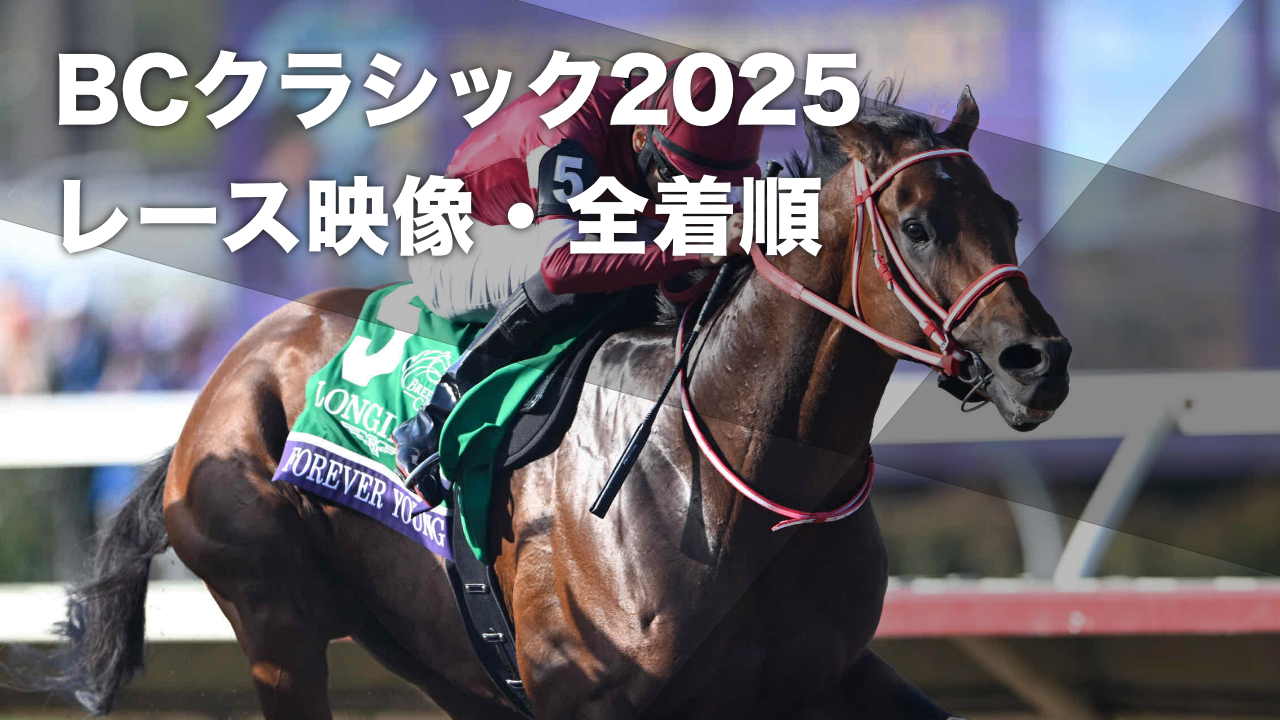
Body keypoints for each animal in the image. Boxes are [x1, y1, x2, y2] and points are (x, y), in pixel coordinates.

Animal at [21, 86, 1070, 718]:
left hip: (436, 651)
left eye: (1007, 215)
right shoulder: (584, 693)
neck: (742, 471)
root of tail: (226, 376)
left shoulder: (828, 676)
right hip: (275, 616)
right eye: (920, 226)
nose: (1039, 362)